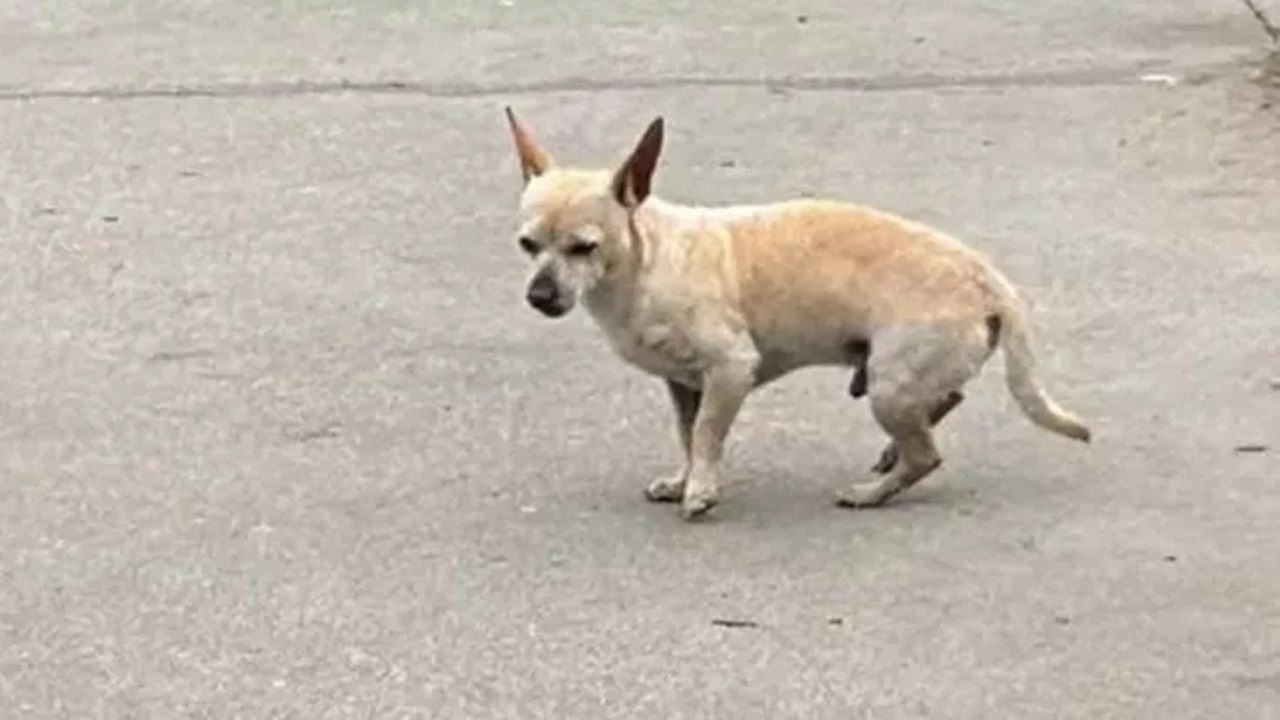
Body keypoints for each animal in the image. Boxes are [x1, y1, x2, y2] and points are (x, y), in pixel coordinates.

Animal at [499, 106, 1090, 517]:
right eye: (527, 246)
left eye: (584, 248)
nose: (539, 295)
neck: (646, 263)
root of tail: (988, 279)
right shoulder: (684, 385)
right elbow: (687, 435)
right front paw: (684, 478)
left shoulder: (729, 371)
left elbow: (708, 433)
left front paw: (702, 491)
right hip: (897, 380)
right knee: (945, 401)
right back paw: (889, 458)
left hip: (889, 385)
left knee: (927, 453)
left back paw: (872, 491)